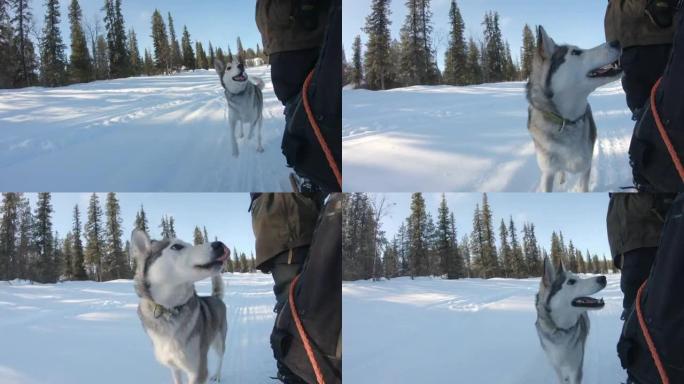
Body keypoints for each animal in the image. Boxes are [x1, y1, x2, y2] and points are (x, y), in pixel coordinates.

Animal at [131, 228, 230, 384]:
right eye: (177, 246)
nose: (219, 244)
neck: (169, 310)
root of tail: (215, 297)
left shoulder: (198, 371)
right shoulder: (174, 367)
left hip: (218, 342)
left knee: (221, 358)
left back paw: (217, 376)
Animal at [536, 255, 608, 384]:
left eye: (578, 278)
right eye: (571, 281)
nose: (603, 278)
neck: (560, 330)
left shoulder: (576, 369)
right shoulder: (557, 367)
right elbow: (562, 378)